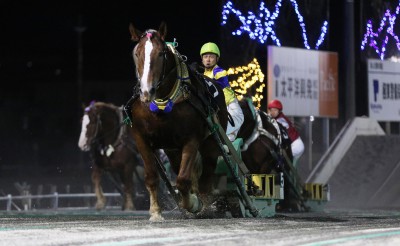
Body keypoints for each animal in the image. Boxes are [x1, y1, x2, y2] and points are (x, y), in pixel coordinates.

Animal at [128, 21, 228, 221]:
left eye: (161, 53)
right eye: (137, 53)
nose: (146, 92)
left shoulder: (192, 138)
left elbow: (183, 180)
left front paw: (193, 204)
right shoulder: (141, 137)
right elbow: (151, 176)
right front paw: (155, 212)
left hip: (211, 142)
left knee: (207, 172)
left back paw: (204, 204)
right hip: (172, 149)